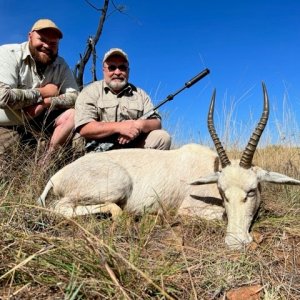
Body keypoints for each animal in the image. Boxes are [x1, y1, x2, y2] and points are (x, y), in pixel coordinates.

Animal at [37, 82, 300, 248]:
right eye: (223, 193)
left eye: (252, 190)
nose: (235, 242)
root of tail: (57, 176)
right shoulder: (189, 209)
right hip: (116, 186)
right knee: (60, 207)